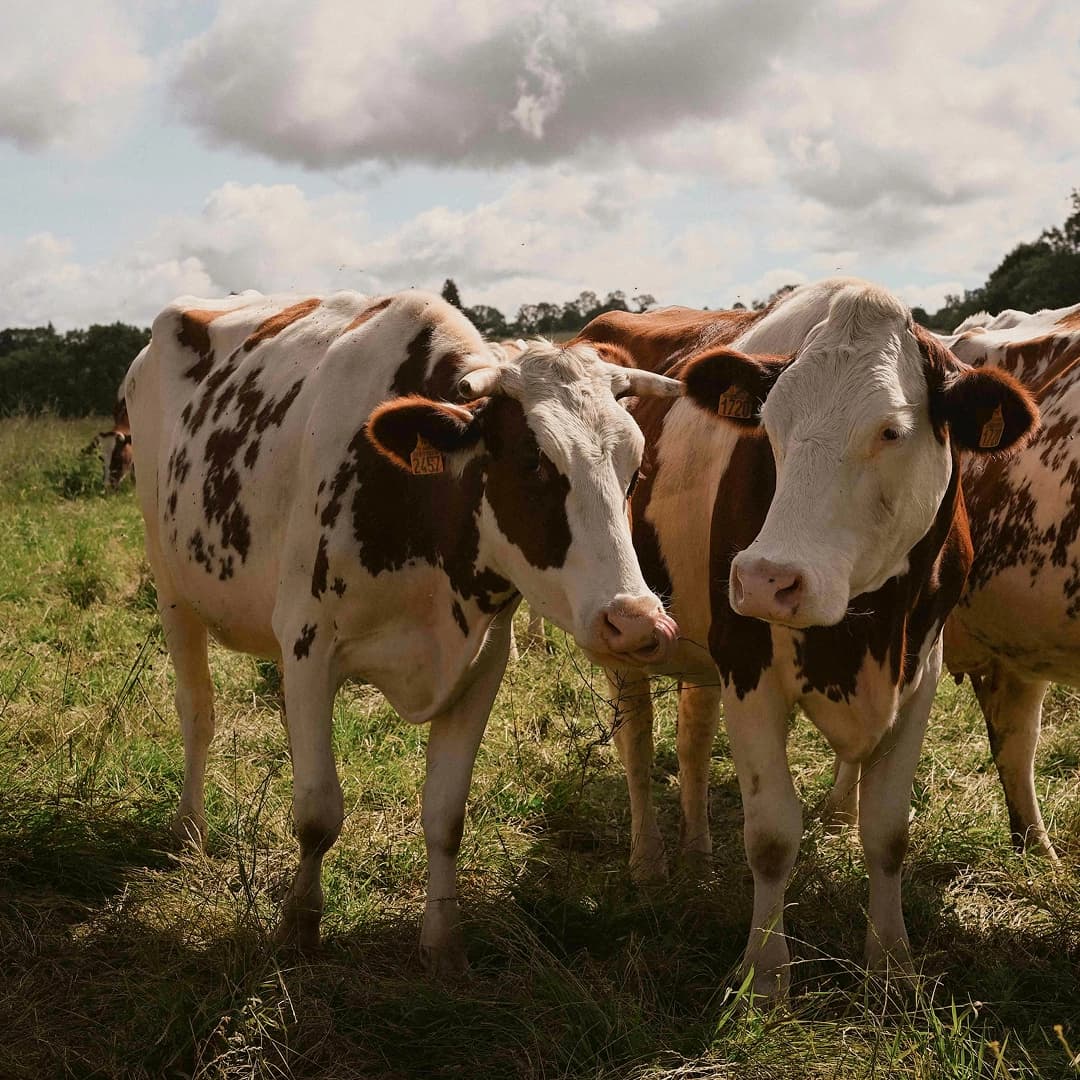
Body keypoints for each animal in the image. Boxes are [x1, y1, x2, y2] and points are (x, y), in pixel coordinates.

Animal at [123, 288, 684, 972]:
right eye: (533, 462)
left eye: (635, 468)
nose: (636, 621)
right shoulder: (309, 644)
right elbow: (317, 810)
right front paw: (299, 926)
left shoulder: (481, 662)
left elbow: (445, 814)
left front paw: (442, 943)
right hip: (172, 587)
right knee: (197, 710)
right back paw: (189, 827)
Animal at [571, 278, 1038, 997]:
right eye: (770, 427)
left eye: (891, 430)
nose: (766, 580)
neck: (864, 626)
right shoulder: (748, 662)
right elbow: (770, 837)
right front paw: (765, 975)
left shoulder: (921, 669)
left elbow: (888, 831)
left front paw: (891, 963)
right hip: (623, 632)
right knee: (639, 745)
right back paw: (649, 860)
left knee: (694, 740)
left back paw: (698, 850)